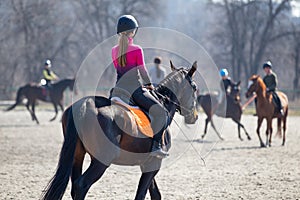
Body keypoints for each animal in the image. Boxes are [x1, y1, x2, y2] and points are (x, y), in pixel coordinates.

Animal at [40, 61, 199, 200]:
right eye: (195, 87)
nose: (195, 116)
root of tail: (85, 104)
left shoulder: (147, 163)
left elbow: (155, 194)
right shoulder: (154, 162)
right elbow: (142, 194)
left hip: (77, 155)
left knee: (75, 185)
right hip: (102, 160)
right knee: (81, 185)